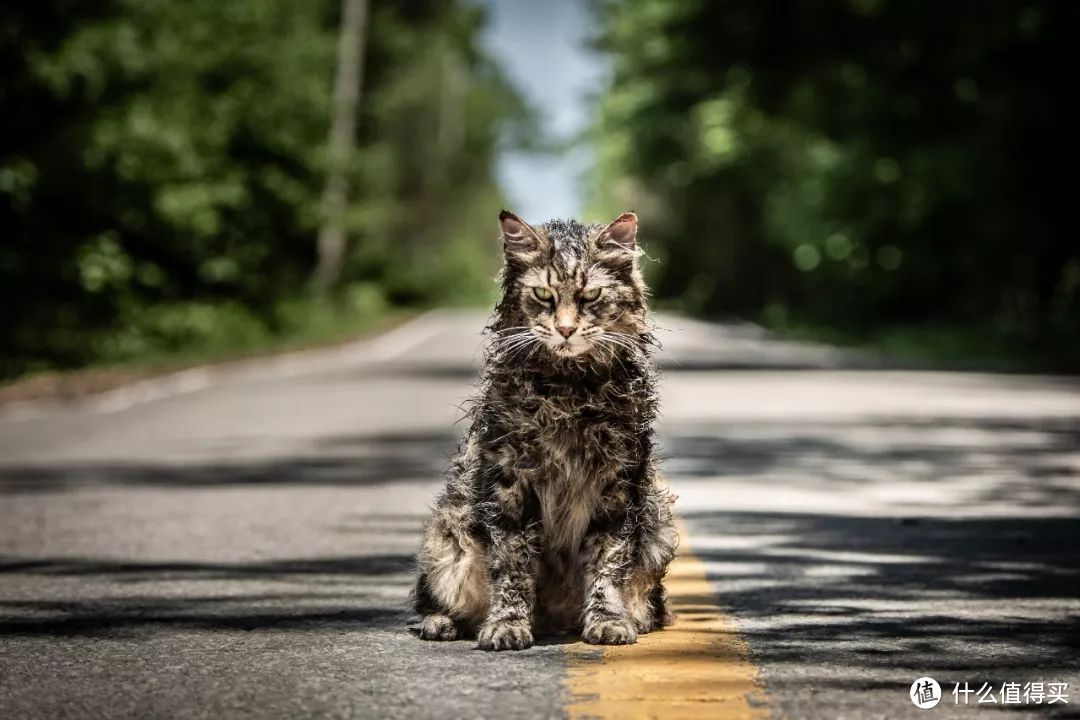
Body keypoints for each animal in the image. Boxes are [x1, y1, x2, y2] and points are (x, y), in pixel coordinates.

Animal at [410, 211, 673, 651]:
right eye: (543, 295)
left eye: (590, 296)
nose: (565, 330)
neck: (568, 391)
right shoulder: (509, 484)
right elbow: (513, 566)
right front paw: (507, 625)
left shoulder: (618, 486)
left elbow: (607, 563)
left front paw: (608, 620)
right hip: (448, 536)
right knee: (432, 599)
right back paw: (441, 623)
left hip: (659, 531)